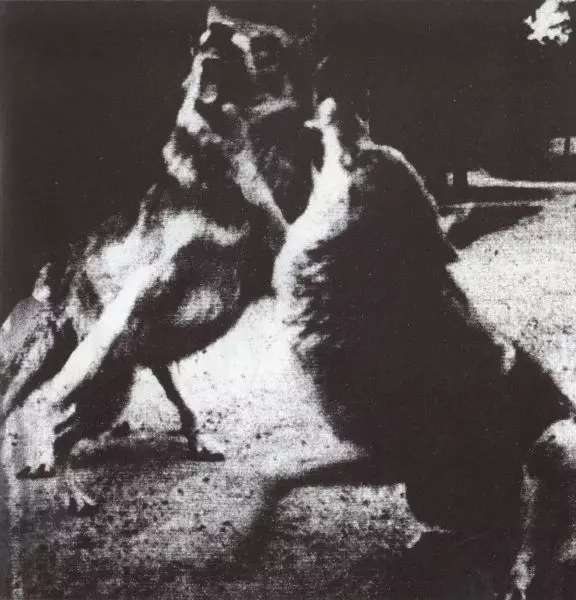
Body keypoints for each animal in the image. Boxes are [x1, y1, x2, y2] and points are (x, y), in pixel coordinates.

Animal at [0, 7, 314, 512]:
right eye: (262, 46)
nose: (314, 41)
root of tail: (57, 269)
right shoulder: (147, 283)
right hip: (97, 378)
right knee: (54, 418)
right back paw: (61, 476)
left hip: (131, 368)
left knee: (153, 402)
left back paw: (192, 438)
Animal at [253, 98, 576, 599]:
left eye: (363, 152)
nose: (346, 103)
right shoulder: (388, 460)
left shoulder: (385, 454)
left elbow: (276, 475)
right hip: (436, 493)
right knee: (491, 533)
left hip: (556, 441)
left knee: (529, 551)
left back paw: (514, 580)